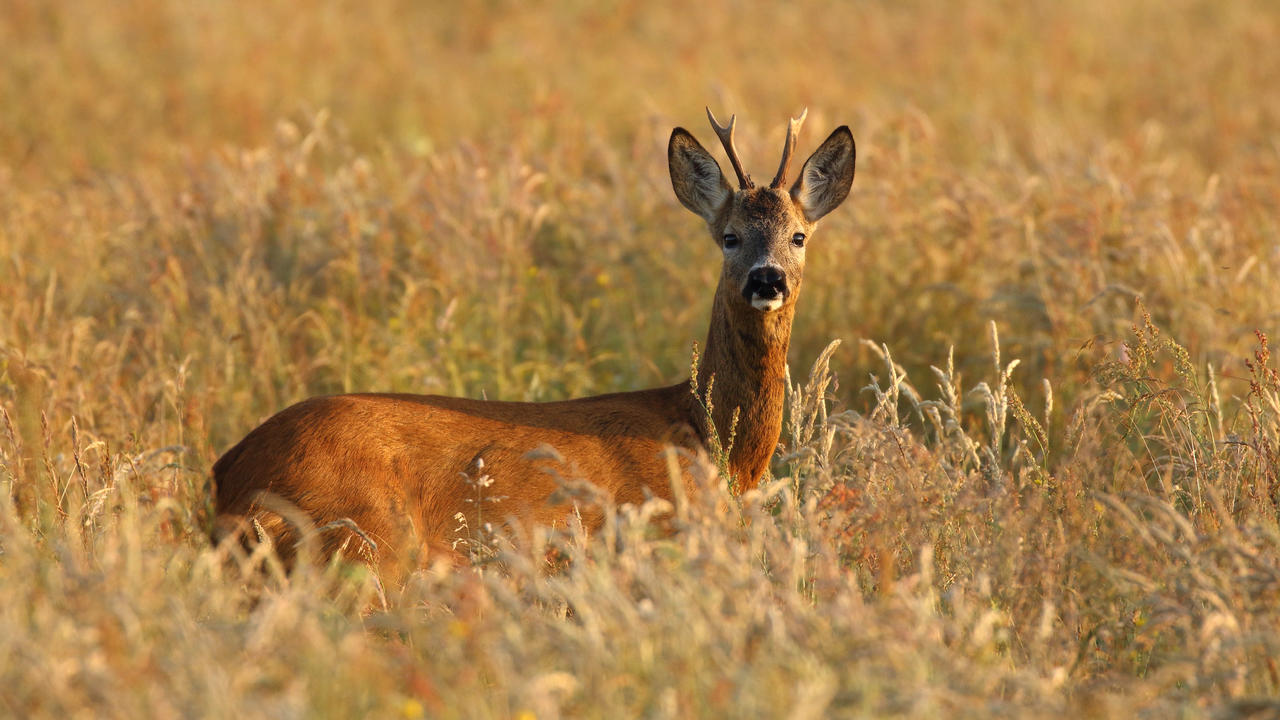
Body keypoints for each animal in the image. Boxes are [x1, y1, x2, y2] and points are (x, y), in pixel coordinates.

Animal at [212, 107, 860, 576]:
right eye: (729, 236)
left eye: (799, 236)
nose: (766, 279)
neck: (710, 440)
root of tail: (227, 472)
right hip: (367, 540)